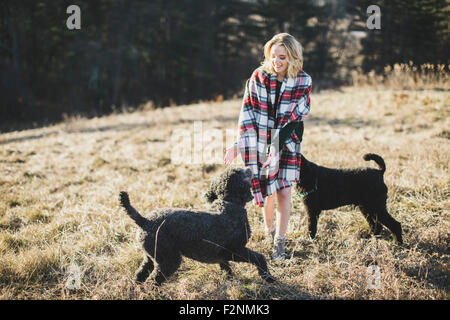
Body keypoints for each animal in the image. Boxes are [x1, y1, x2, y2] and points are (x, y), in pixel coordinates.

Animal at [118, 168, 274, 284]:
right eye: (240, 171)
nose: (250, 168)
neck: (228, 203)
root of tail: (144, 221)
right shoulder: (234, 250)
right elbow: (259, 258)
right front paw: (268, 277)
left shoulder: (222, 254)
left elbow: (226, 268)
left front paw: (229, 279)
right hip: (168, 259)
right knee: (152, 281)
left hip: (151, 256)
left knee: (141, 274)